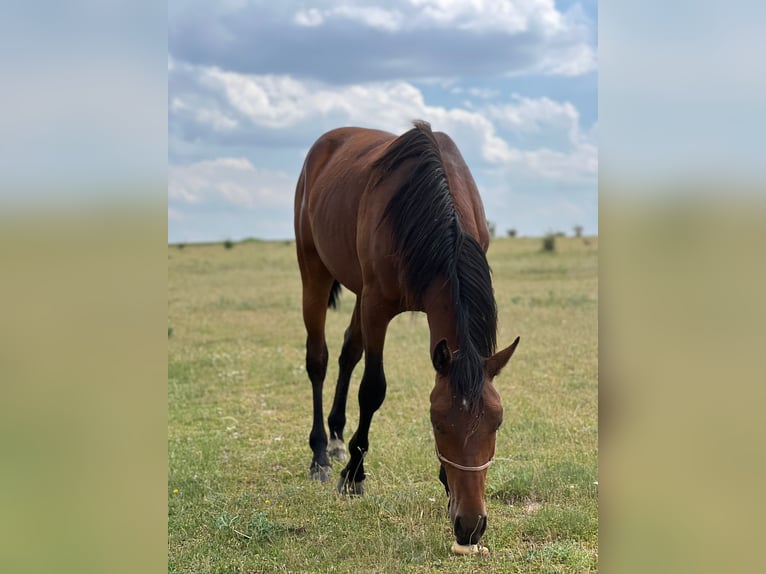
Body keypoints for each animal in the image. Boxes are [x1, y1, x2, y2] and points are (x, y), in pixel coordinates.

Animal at [294, 120, 520, 546]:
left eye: (497, 422)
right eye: (437, 423)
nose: (470, 526)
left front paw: (445, 484)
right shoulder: (377, 305)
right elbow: (373, 390)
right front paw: (354, 474)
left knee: (348, 352)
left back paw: (336, 438)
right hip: (314, 270)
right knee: (319, 359)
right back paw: (320, 454)